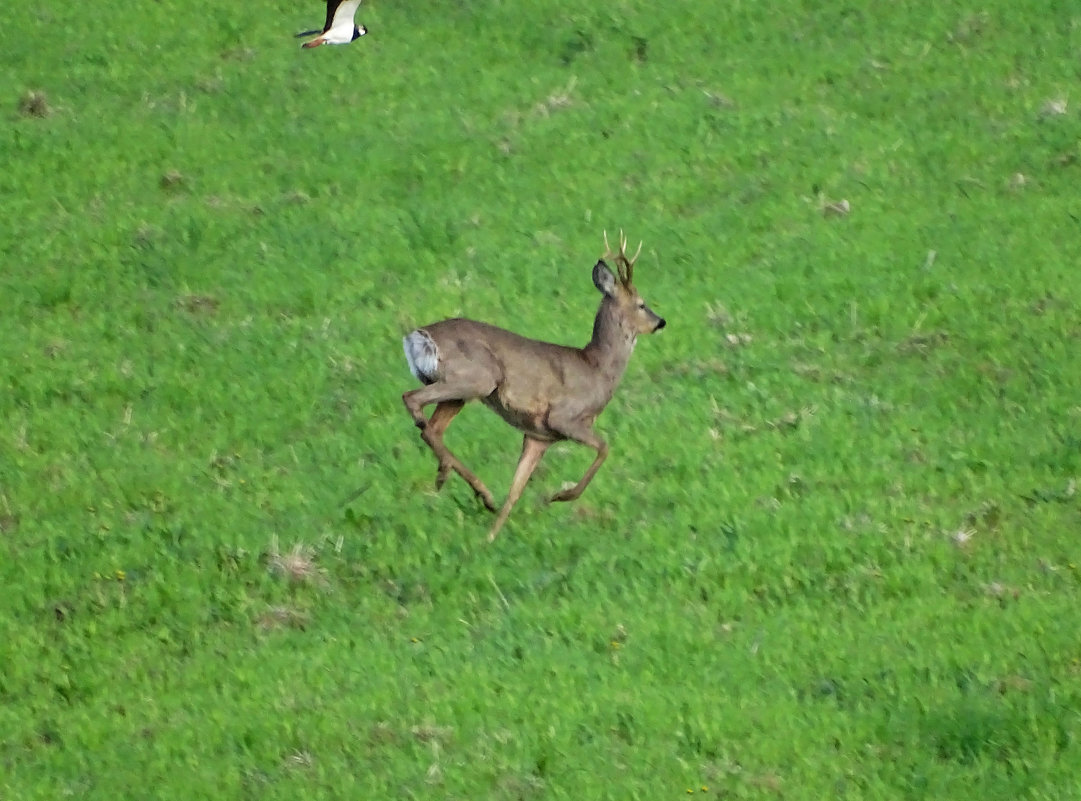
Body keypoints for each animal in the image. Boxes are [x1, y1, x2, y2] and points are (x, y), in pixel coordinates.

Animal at [402, 231, 661, 542]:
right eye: (641, 304)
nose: (660, 322)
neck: (597, 368)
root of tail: (417, 337)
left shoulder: (539, 436)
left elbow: (515, 491)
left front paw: (490, 539)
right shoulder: (564, 417)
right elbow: (604, 447)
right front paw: (559, 496)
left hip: (461, 390)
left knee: (433, 428)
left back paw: (466, 487)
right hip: (477, 378)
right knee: (413, 402)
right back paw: (467, 484)